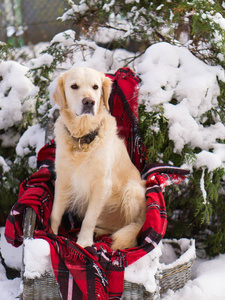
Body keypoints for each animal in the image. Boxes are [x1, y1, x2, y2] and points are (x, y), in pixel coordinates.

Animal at [49, 67, 146, 250]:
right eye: (74, 86)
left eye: (95, 87)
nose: (89, 102)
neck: (83, 139)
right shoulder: (63, 179)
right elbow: (55, 212)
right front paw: (50, 233)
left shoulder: (102, 184)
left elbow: (89, 218)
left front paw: (84, 242)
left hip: (133, 190)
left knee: (130, 225)